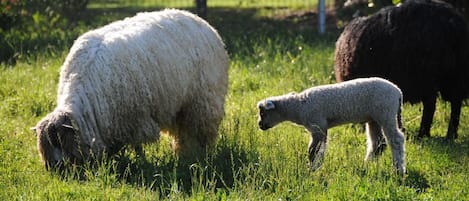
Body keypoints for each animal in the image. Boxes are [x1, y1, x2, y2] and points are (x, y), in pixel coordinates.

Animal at [32, 9, 229, 170]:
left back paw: (200, 155)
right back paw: (183, 154)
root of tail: (198, 19)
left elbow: (137, 145)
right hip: (181, 106)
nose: (56, 168)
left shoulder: (136, 118)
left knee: (200, 131)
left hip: (203, 101)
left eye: (61, 141)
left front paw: (141, 161)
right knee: (184, 132)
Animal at [258, 77, 404, 174]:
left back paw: (399, 170)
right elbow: (316, 150)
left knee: (396, 140)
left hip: (386, 113)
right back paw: (367, 164)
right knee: (378, 142)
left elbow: (313, 151)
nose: (260, 125)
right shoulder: (319, 128)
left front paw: (312, 169)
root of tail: (398, 92)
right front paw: (314, 168)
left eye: (263, 113)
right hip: (374, 118)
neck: (298, 106)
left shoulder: (318, 126)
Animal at [332, 0, 468, 140]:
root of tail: (453, 23)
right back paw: (450, 135)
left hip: (427, 77)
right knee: (455, 103)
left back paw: (424, 134)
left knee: (432, 105)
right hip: (453, 76)